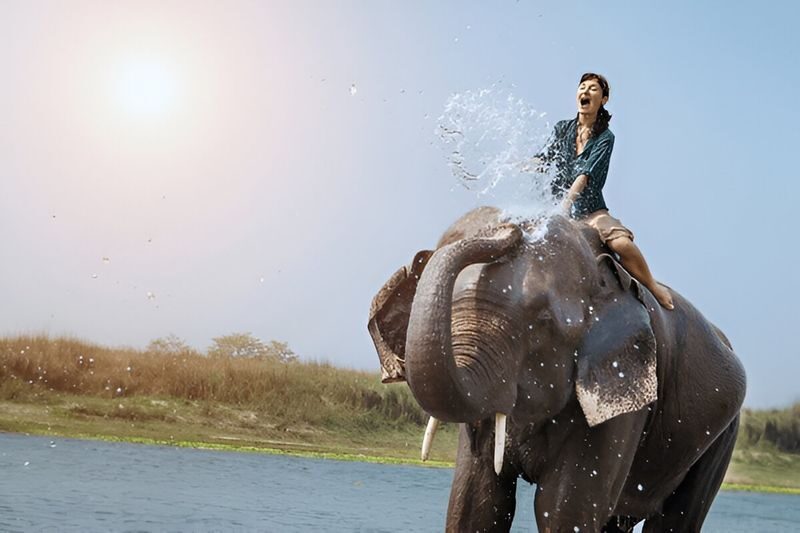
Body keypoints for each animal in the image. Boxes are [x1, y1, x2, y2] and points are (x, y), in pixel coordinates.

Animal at [367, 206, 746, 532]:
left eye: (543, 322)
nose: (509, 228)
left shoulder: (624, 394)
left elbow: (562, 507)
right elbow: (475, 503)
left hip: (722, 435)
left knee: (675, 521)